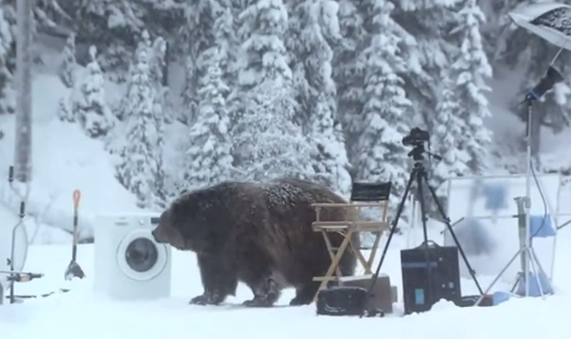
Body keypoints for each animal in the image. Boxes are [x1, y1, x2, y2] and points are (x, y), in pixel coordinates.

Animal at [152, 178, 358, 308]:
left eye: (162, 220)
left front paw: (257, 299)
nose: (154, 233)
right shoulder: (214, 252)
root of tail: (344, 203)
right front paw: (202, 297)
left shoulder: (248, 236)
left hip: (320, 241)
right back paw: (300, 298)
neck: (214, 227)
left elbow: (259, 271)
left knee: (327, 270)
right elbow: (215, 276)